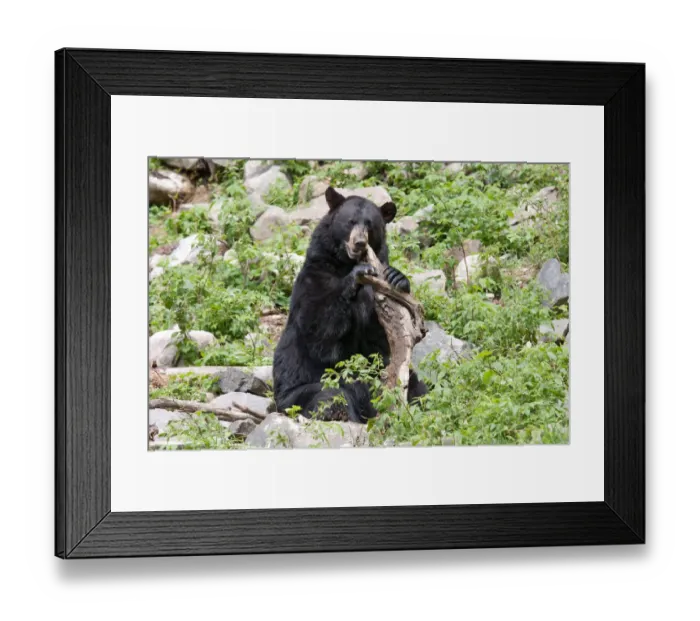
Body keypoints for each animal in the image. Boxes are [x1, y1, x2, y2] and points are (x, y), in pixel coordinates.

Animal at [273, 186, 428, 423]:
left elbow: (382, 340)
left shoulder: (376, 298)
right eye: (350, 221)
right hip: (294, 397)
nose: (359, 243)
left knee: (416, 388)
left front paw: (398, 277)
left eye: (370, 224)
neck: (343, 264)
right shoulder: (314, 279)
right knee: (331, 396)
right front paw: (357, 275)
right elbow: (318, 331)